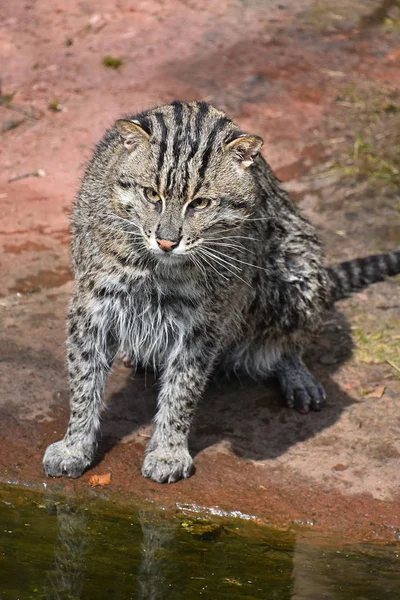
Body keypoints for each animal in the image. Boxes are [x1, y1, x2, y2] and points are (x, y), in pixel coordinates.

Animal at [42, 99, 398, 482]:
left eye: (200, 203)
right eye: (151, 194)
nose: (167, 241)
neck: (158, 267)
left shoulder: (204, 320)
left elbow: (182, 388)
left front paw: (168, 449)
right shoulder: (93, 302)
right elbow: (84, 379)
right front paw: (75, 443)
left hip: (297, 267)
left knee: (288, 334)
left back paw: (294, 371)